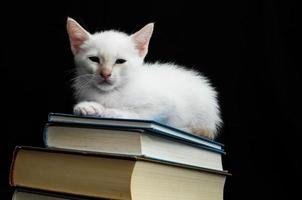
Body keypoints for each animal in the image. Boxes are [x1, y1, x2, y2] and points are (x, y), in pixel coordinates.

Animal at [66, 17, 222, 139]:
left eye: (120, 61)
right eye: (94, 59)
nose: (105, 73)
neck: (113, 92)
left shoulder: (167, 106)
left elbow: (139, 114)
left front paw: (107, 111)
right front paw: (86, 107)